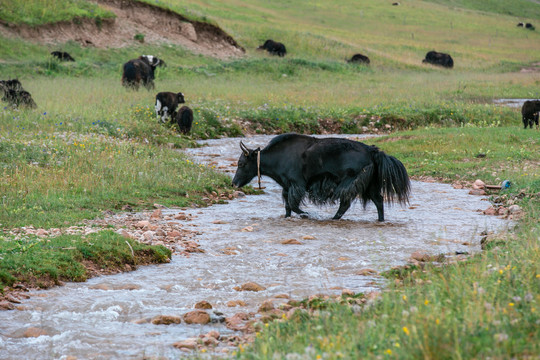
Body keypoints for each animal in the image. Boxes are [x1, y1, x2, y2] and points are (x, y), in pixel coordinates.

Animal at [230, 134, 412, 221]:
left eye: (241, 164)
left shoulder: (297, 184)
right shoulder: (287, 187)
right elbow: (287, 207)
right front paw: (288, 217)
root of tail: (372, 150)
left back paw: (333, 218)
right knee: (378, 201)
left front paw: (306, 214)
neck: (278, 157)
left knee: (346, 203)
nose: (234, 184)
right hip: (370, 185)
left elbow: (293, 204)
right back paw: (380, 220)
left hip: (350, 182)